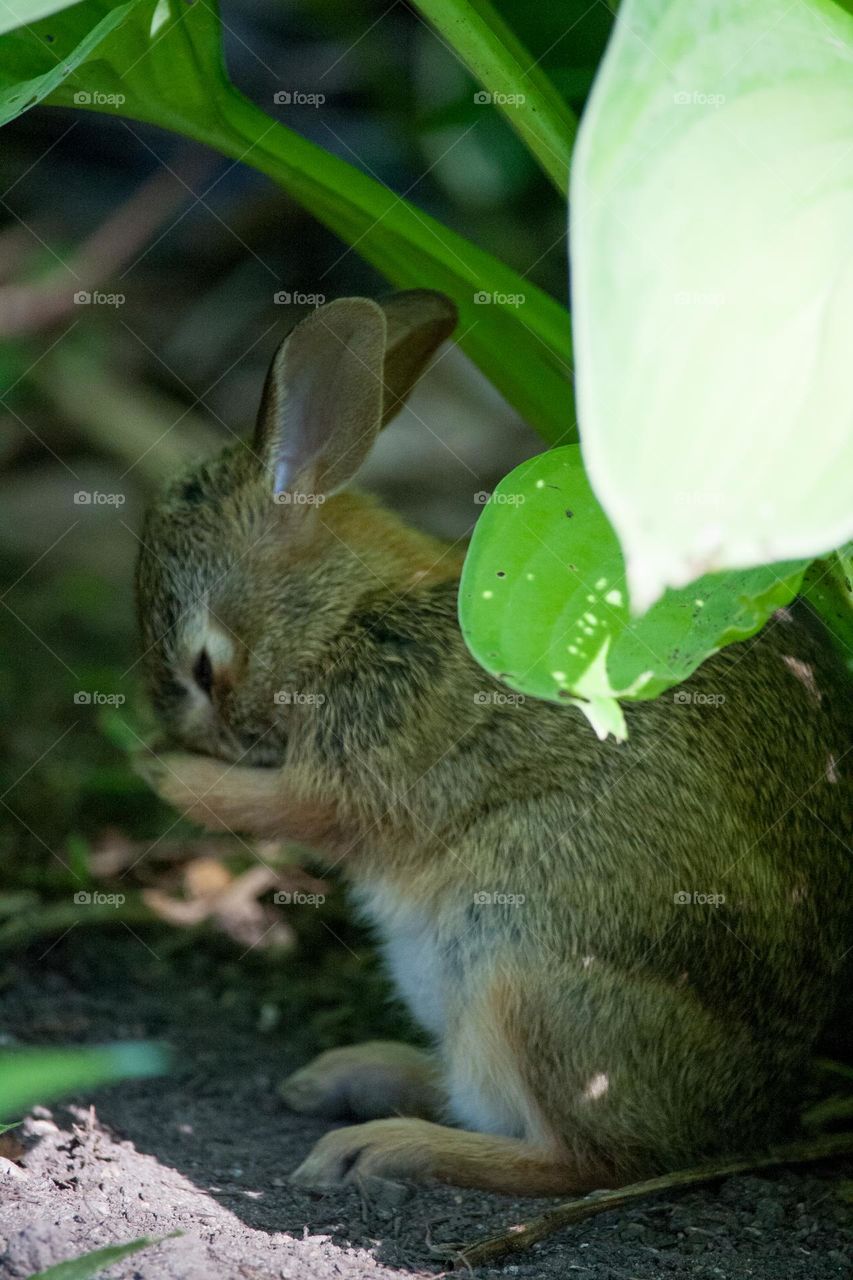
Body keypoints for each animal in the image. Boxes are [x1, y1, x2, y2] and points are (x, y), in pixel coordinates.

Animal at [133, 294, 850, 1192]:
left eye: (203, 667)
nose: (180, 730)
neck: (346, 611)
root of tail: (747, 1109)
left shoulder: (371, 747)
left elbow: (295, 807)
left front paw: (161, 770)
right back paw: (354, 1076)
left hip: (530, 974)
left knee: (583, 1159)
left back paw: (380, 1146)